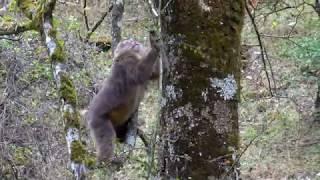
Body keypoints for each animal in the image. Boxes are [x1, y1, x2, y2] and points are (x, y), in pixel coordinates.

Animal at [87, 30, 160, 162]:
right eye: (126, 42)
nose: (134, 41)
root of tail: (88, 117)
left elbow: (155, 73)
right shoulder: (127, 65)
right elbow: (139, 74)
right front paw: (154, 45)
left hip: (119, 124)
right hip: (100, 122)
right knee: (106, 142)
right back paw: (106, 161)